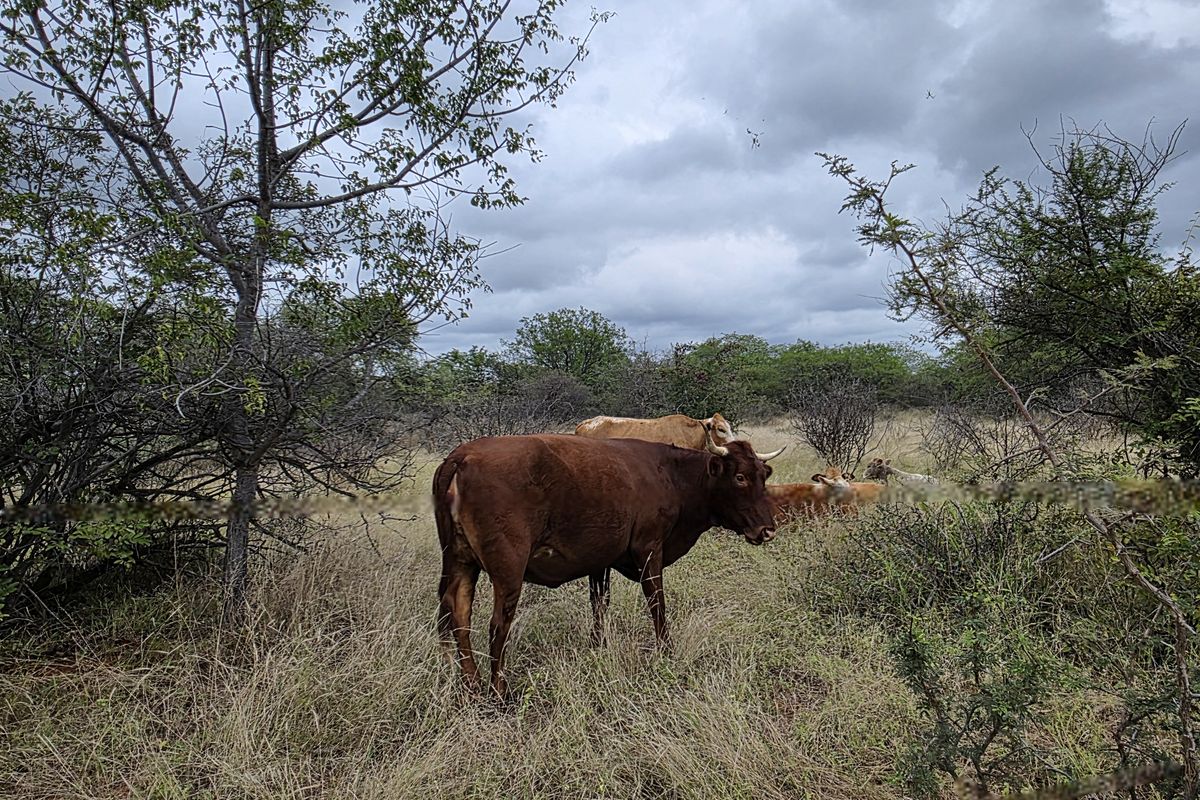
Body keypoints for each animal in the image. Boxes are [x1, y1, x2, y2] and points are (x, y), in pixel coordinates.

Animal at [433, 433, 779, 697]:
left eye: (763, 476)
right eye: (739, 477)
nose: (767, 530)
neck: (670, 474)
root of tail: (463, 455)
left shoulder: (600, 560)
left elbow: (599, 603)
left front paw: (598, 645)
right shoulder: (649, 549)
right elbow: (657, 603)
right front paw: (665, 650)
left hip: (460, 562)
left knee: (458, 615)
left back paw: (470, 683)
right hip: (508, 571)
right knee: (497, 625)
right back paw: (499, 691)